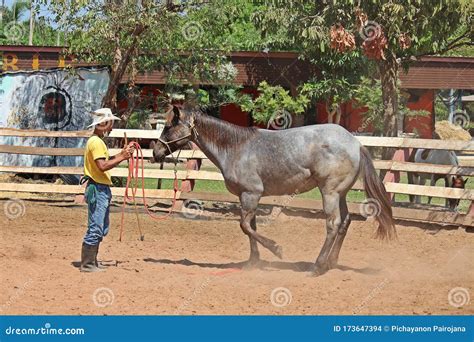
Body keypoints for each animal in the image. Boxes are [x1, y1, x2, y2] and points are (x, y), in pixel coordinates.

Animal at [153, 105, 396, 276]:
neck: (235, 148)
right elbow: (250, 227)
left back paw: (317, 267)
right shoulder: (248, 197)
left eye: (168, 126)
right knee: (345, 222)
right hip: (341, 194)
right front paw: (253, 262)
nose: (156, 152)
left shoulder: (251, 194)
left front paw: (276, 249)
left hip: (330, 193)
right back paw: (330, 263)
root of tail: (356, 144)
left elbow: (244, 226)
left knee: (333, 225)